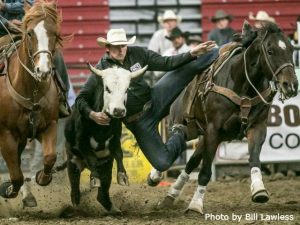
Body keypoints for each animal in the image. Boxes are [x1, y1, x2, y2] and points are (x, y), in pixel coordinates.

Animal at [0, 0, 62, 198]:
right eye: (29, 33)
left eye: (54, 33)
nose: (43, 70)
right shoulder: (6, 134)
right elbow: (16, 175)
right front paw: (8, 189)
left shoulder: (49, 125)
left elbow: (50, 157)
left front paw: (42, 177)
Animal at [161, 20, 298, 213]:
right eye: (270, 51)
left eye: (291, 49)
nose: (291, 85)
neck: (243, 83)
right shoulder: (213, 130)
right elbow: (205, 172)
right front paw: (196, 204)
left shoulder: (257, 127)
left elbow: (254, 158)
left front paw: (259, 189)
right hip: (185, 127)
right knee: (173, 147)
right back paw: (155, 177)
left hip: (204, 136)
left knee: (191, 161)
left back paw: (171, 194)